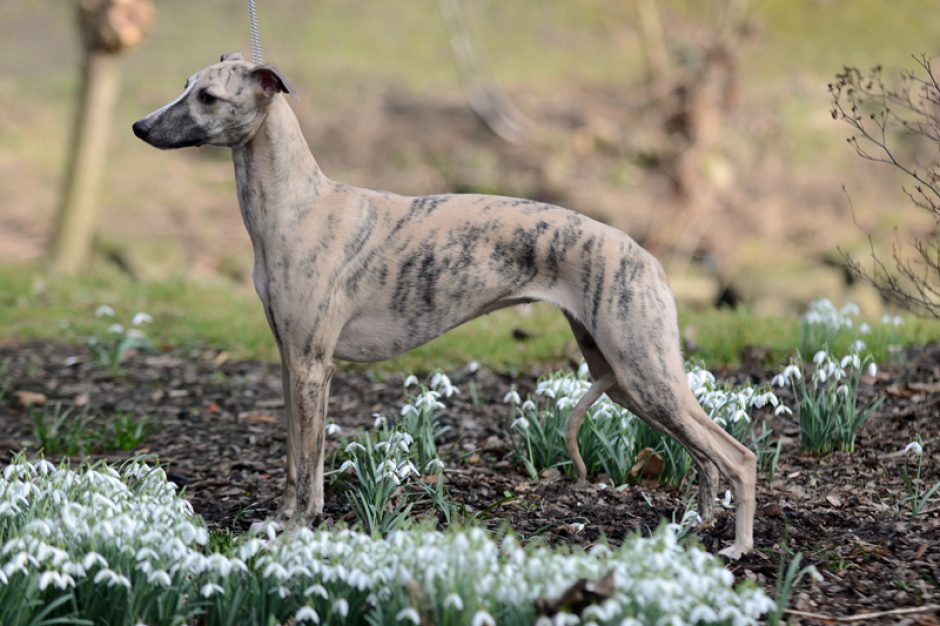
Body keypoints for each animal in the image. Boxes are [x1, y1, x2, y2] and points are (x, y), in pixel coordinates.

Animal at [130, 53, 756, 556]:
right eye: (185, 85)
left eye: (208, 97)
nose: (138, 126)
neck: (298, 207)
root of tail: (649, 256)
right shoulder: (293, 361)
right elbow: (292, 459)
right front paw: (282, 520)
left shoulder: (312, 365)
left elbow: (307, 463)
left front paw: (297, 527)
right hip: (625, 376)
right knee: (704, 455)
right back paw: (699, 525)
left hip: (643, 369)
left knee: (737, 455)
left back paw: (739, 548)